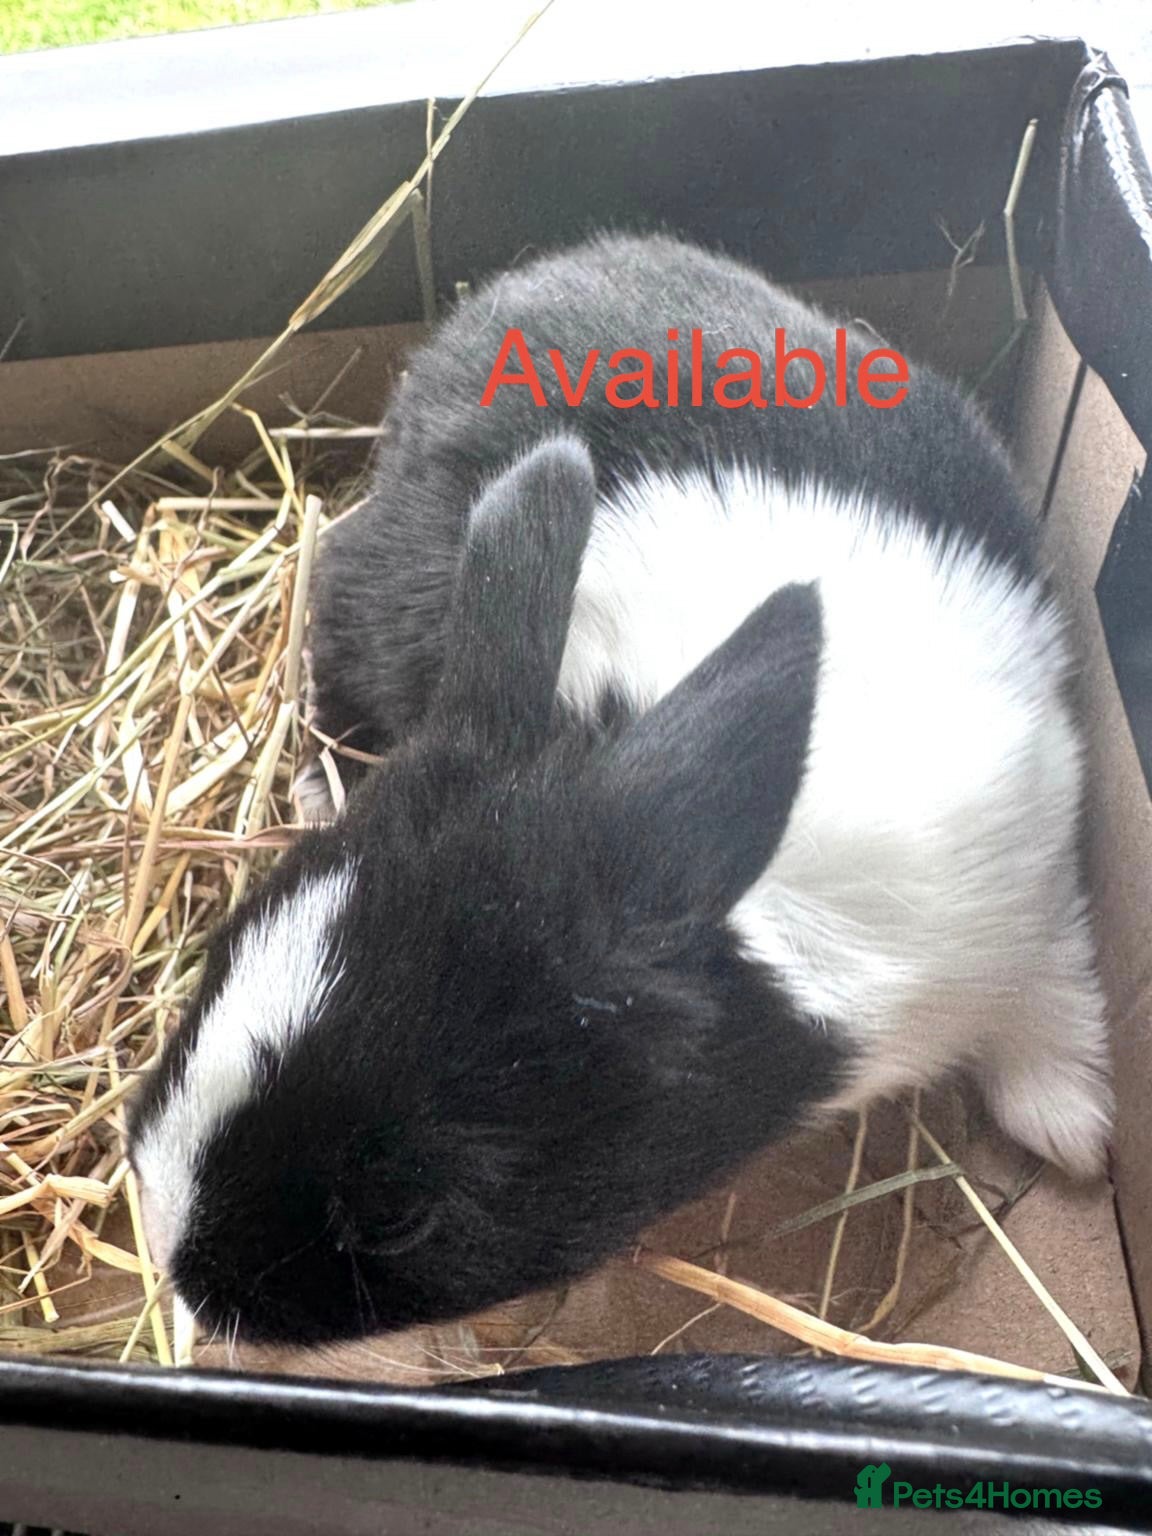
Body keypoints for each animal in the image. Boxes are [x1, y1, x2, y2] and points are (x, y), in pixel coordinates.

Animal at [128, 232, 1113, 1347]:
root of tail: (501, 296)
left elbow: (1058, 978)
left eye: (402, 1213)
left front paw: (1069, 1126)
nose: (169, 1250)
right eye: (219, 954)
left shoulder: (1036, 863)